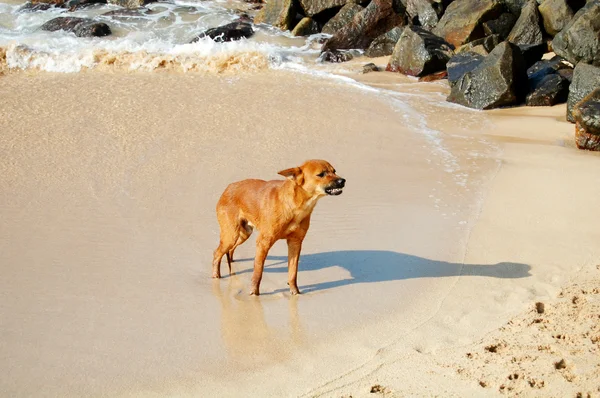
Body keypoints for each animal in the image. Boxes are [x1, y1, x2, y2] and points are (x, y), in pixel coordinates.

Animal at [211, 159, 344, 296]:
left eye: (334, 171)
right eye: (321, 174)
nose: (342, 181)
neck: (296, 207)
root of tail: (228, 187)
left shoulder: (295, 243)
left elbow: (293, 272)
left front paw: (295, 292)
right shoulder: (263, 243)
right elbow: (258, 271)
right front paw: (254, 293)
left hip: (244, 233)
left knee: (230, 250)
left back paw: (231, 265)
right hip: (231, 235)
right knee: (217, 253)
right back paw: (216, 275)